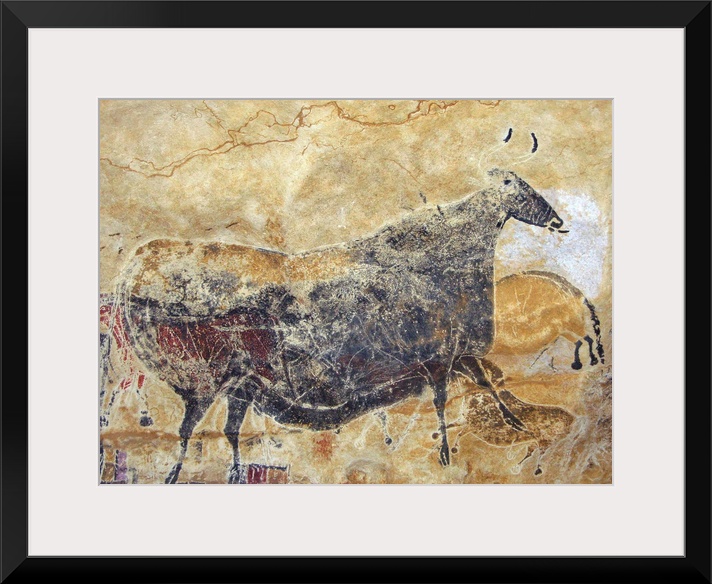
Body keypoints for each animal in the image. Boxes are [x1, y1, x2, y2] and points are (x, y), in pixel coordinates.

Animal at [115, 167, 566, 483]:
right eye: (524, 190)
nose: (559, 221)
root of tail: (139, 261)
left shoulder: (456, 352)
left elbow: (486, 384)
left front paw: (515, 422)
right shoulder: (440, 356)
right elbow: (443, 402)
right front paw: (446, 453)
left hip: (238, 384)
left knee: (226, 430)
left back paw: (230, 472)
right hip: (207, 381)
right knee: (190, 428)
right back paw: (177, 473)